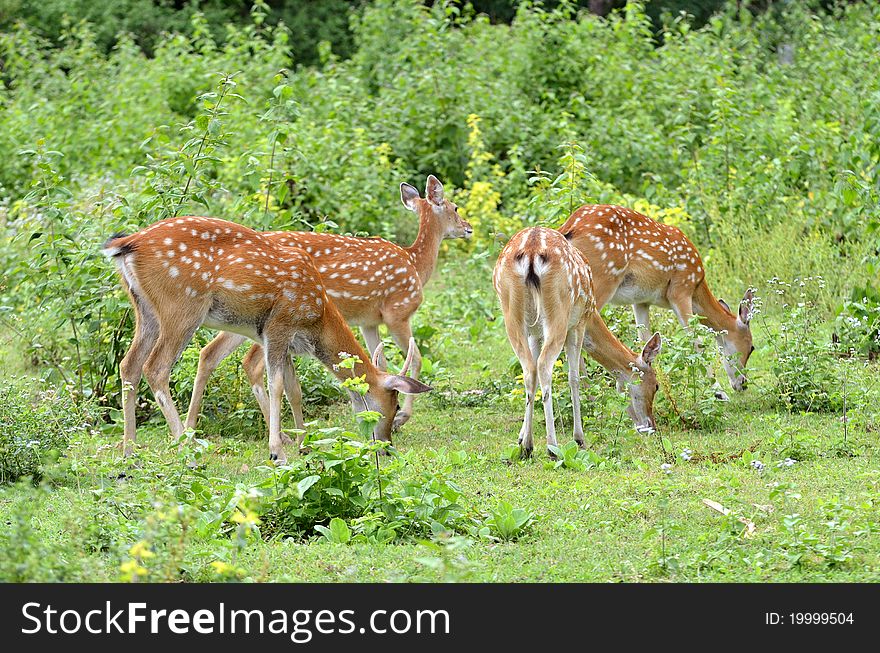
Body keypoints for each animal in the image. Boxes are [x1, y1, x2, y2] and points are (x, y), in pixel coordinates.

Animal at [103, 216, 434, 460]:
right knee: (156, 368)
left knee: (128, 365)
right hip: (181, 305)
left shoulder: (283, 339)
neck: (316, 317)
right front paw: (277, 451)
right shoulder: (279, 325)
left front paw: (305, 445)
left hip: (144, 310)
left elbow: (293, 389)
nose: (387, 446)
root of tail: (125, 244)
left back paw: (129, 452)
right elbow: (276, 386)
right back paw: (187, 450)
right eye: (391, 407)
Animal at [182, 176, 470, 436]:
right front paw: (402, 417)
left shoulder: (368, 322)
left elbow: (381, 362)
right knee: (250, 363)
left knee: (210, 353)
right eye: (455, 207)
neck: (416, 264)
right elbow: (417, 359)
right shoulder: (397, 312)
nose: (469, 228)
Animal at [492, 227, 664, 456]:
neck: (593, 316)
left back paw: (528, 447)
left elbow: (534, 378)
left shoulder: (534, 333)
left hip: (511, 313)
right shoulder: (578, 325)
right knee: (545, 366)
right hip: (558, 311)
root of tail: (531, 251)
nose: (651, 426)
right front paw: (579, 438)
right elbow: (575, 378)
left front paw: (521, 438)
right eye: (656, 386)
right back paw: (552, 447)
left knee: (529, 369)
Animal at [560, 205, 752, 398]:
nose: (743, 384)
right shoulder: (680, 289)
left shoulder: (641, 301)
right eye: (751, 347)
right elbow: (697, 341)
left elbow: (644, 339)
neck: (697, 287)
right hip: (602, 279)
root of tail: (568, 228)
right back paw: (589, 396)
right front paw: (718, 392)